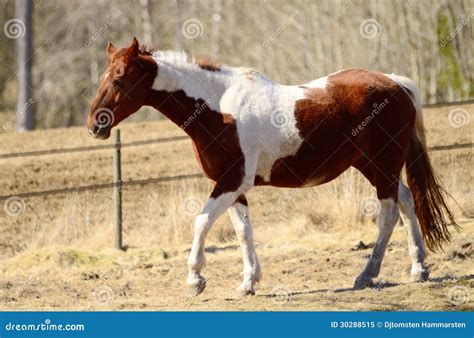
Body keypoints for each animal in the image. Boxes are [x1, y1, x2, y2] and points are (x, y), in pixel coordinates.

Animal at [87, 37, 458, 296]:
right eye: (102, 77)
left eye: (119, 79)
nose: (95, 125)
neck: (218, 108)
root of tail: (397, 84)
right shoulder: (233, 187)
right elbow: (243, 231)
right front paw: (248, 282)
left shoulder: (230, 182)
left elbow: (202, 221)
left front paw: (195, 279)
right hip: (373, 165)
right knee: (407, 201)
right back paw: (418, 269)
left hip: (383, 165)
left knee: (388, 214)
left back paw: (367, 275)